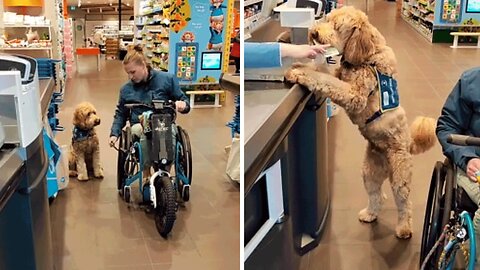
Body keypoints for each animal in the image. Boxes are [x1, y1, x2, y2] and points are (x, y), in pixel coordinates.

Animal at [284, 6, 438, 238]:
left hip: (400, 176)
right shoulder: (339, 73)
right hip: (370, 172)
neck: (369, 56)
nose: (314, 32)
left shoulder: (354, 95)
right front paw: (301, 63)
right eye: (328, 19)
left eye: (337, 26)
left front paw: (299, 72)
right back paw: (370, 214)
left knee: (404, 204)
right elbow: (324, 73)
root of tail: (408, 144)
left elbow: (325, 80)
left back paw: (403, 228)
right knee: (377, 196)